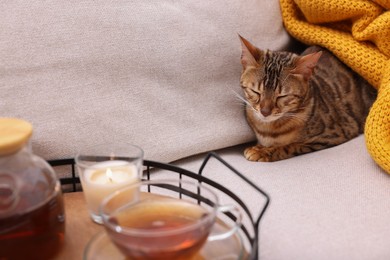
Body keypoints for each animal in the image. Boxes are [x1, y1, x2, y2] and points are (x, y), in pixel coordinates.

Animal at [239, 35, 376, 161]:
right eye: (256, 92)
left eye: (282, 96)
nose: (265, 112)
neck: (268, 130)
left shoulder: (333, 134)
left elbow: (290, 146)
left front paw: (263, 151)